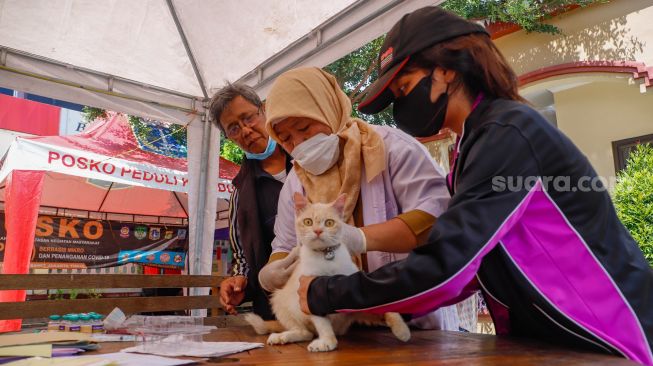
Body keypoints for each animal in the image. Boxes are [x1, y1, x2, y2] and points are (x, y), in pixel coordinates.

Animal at [244, 194, 408, 352]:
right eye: (308, 222)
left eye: (329, 223)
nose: (317, 231)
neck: (326, 255)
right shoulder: (308, 293)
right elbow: (322, 323)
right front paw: (328, 342)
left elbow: (381, 305)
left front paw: (401, 328)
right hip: (279, 301)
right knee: (305, 332)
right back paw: (282, 336)